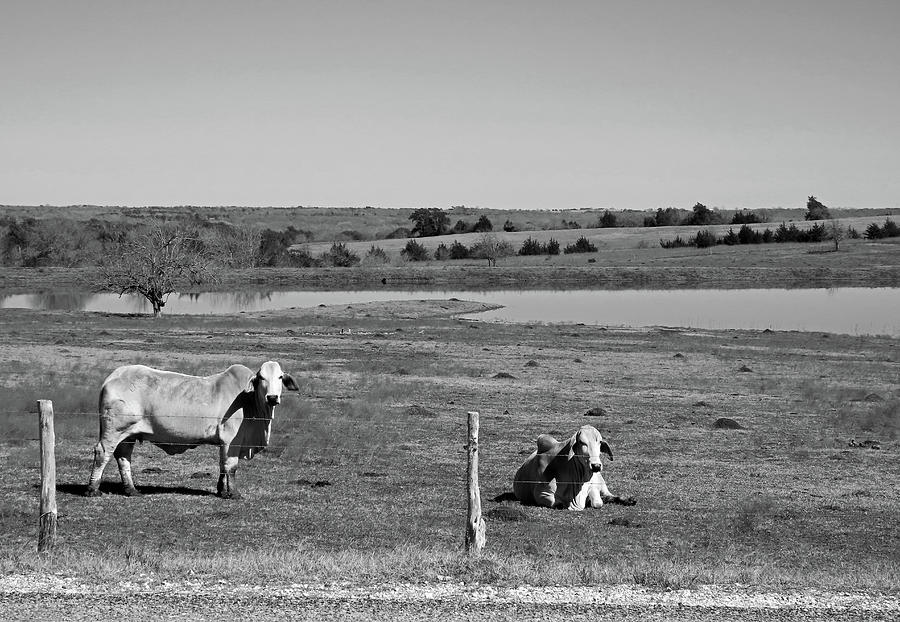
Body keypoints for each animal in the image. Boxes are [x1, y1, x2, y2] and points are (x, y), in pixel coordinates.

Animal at [83, 364, 298, 500]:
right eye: (261, 377)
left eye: (280, 377)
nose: (272, 397)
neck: (250, 402)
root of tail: (113, 376)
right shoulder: (231, 441)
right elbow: (231, 467)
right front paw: (234, 494)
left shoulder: (224, 444)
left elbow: (222, 466)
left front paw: (222, 491)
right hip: (114, 430)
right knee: (103, 453)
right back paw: (93, 489)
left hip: (129, 435)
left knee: (123, 457)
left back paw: (131, 490)